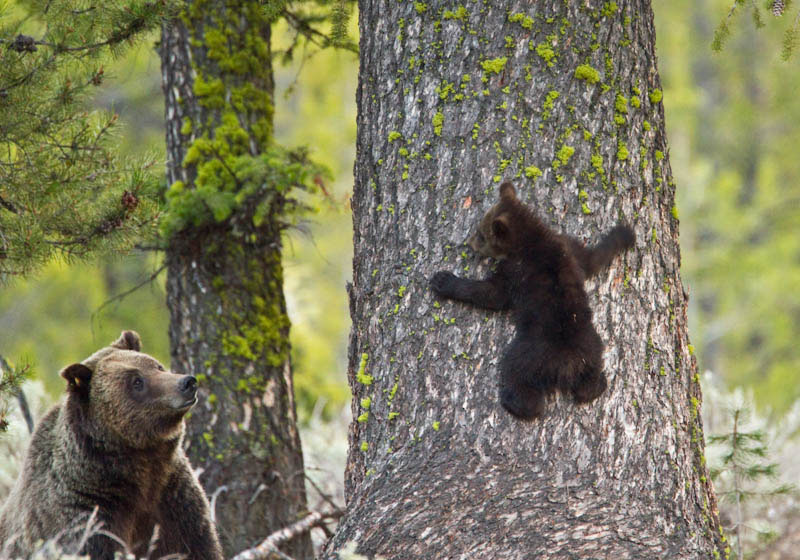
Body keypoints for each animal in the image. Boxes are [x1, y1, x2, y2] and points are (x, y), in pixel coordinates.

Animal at [0, 330, 222, 556]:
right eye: (136, 381)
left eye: (157, 366)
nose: (187, 382)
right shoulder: (88, 512)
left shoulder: (174, 501)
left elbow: (196, 545)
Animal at [432, 184, 636, 420]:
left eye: (482, 235)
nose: (469, 242)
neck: (531, 237)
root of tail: (569, 364)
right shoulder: (567, 247)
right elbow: (592, 258)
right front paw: (624, 233)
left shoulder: (515, 270)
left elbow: (492, 294)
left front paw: (444, 280)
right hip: (594, 348)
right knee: (590, 383)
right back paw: (599, 384)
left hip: (530, 353)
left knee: (517, 375)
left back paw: (513, 402)